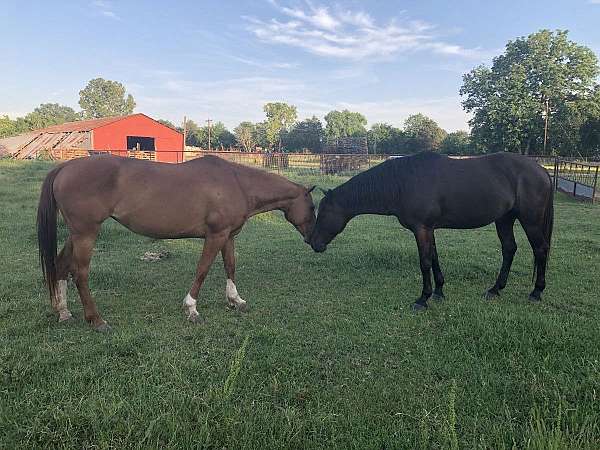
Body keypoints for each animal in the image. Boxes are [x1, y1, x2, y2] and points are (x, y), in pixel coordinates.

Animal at [38, 155, 316, 330]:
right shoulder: (215, 236)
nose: (315, 240)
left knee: (61, 266)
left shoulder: (228, 236)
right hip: (86, 233)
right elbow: (203, 270)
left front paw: (235, 300)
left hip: (76, 234)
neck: (238, 184)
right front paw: (192, 309)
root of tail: (65, 168)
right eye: (313, 207)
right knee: (80, 273)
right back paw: (96, 320)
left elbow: (231, 267)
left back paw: (64, 312)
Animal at [312, 151, 556, 310]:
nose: (313, 243)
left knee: (540, 249)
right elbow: (435, 258)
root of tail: (541, 170)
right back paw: (495, 289)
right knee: (509, 249)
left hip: (530, 221)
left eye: (322, 213)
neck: (403, 183)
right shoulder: (429, 229)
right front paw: (439, 292)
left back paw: (536, 292)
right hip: (504, 219)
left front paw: (423, 299)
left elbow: (425, 262)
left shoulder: (421, 229)